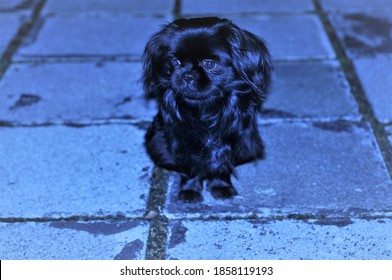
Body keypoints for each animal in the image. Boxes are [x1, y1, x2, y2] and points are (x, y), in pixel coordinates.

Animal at [142, 17, 272, 201]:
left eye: (209, 64)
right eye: (175, 62)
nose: (187, 75)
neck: (204, 108)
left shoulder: (232, 140)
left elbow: (221, 164)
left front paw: (221, 187)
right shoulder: (183, 141)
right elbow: (190, 168)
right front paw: (189, 191)